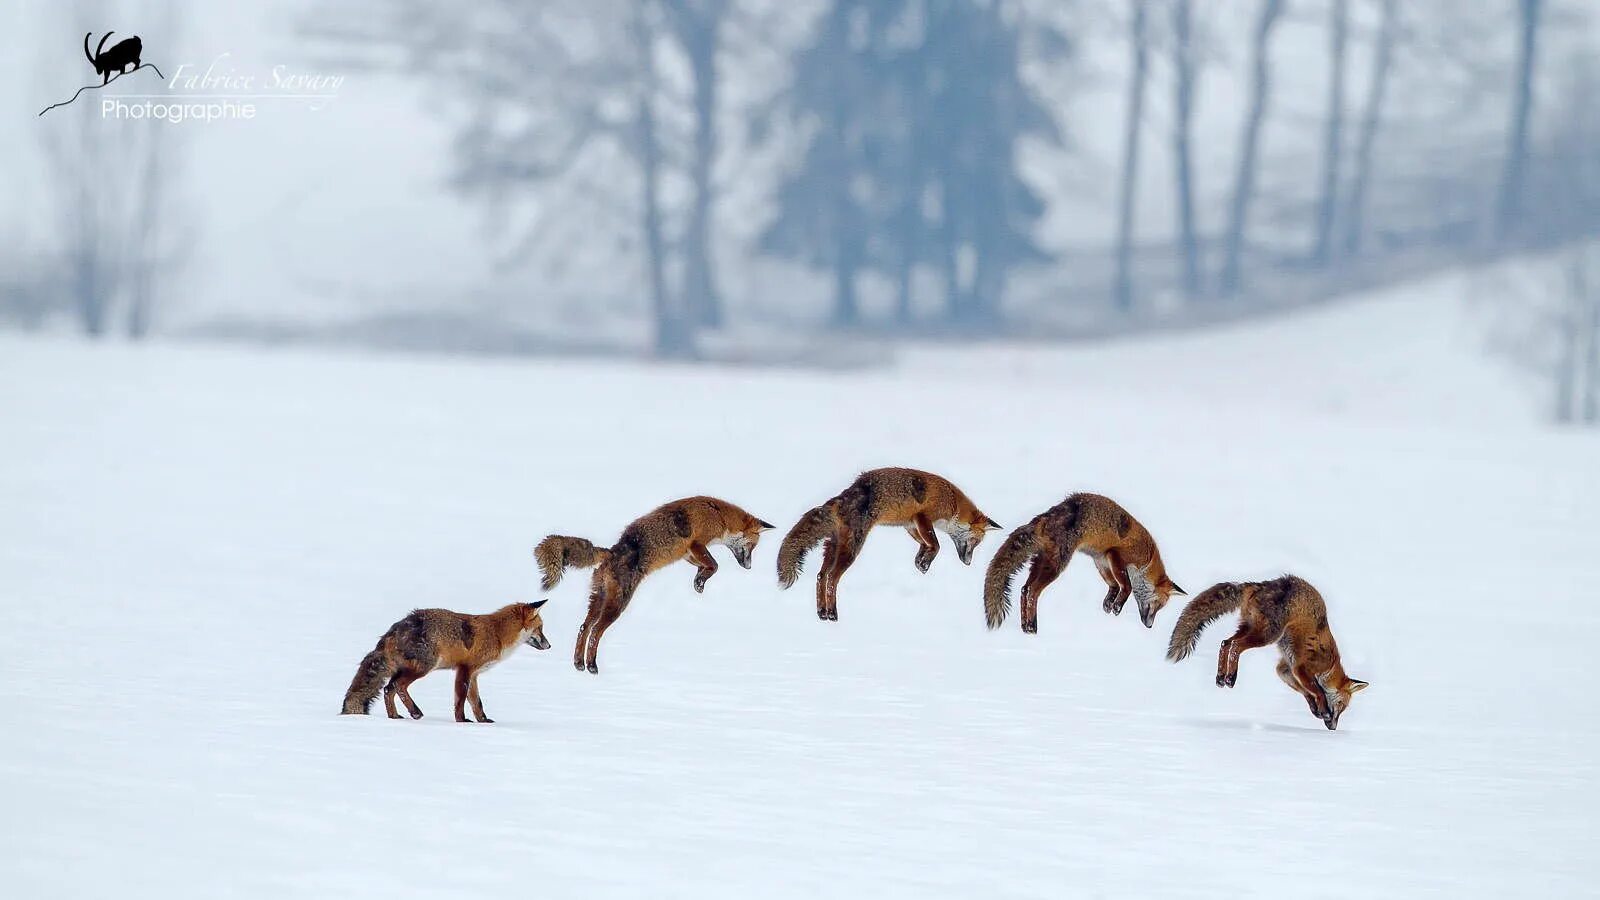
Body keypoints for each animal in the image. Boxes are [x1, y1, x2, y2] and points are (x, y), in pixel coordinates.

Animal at [337, 598, 550, 717]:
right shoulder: (465, 669)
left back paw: (395, 717)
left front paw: (483, 722)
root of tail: (396, 628)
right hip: (423, 668)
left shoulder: (474, 675)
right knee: (397, 686)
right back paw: (415, 712)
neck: (497, 634)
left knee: (388, 689)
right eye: (540, 628)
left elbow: (476, 702)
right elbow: (460, 701)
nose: (549, 645)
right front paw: (462, 722)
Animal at [534, 493, 771, 669]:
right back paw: (591, 665)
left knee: (584, 627)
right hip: (617, 605)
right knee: (595, 631)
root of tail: (612, 551)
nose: (749, 568)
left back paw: (578, 663)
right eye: (753, 546)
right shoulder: (696, 543)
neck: (718, 514)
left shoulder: (686, 553)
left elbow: (704, 566)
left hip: (599, 599)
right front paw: (700, 582)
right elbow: (714, 565)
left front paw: (698, 580)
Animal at [774, 464, 998, 621]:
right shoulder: (923, 516)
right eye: (975, 542)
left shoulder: (910, 523)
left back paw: (822, 612)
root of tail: (842, 497)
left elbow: (924, 544)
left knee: (821, 576)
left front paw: (920, 561)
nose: (968, 563)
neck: (953, 502)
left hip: (833, 546)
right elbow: (936, 544)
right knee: (831, 579)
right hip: (852, 549)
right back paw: (832, 613)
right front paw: (925, 563)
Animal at [979, 493, 1184, 634]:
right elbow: (1126, 586)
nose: (1149, 626)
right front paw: (1117, 606)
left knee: (1024, 589)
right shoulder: (1115, 555)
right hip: (1056, 565)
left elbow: (1113, 585)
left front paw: (1109, 604)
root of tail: (1047, 516)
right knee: (1033, 591)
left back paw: (1028, 627)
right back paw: (1031, 626)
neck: (1147, 557)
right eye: (1159, 605)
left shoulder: (1101, 560)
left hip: (1041, 562)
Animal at [1171, 573, 1369, 730]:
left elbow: (1306, 692)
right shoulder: (1301, 667)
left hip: (1250, 628)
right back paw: (1231, 677)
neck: (1330, 665)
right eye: (1341, 706)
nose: (1333, 727)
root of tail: (1259, 584)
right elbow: (1318, 691)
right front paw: (1323, 710)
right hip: (1268, 635)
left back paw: (1222, 677)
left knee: (1225, 643)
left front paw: (1316, 710)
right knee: (1236, 647)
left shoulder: (1285, 669)